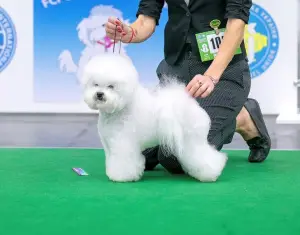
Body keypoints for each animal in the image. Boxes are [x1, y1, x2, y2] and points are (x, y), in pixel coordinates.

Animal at [82, 53, 227, 184]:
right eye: (95, 84)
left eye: (111, 86)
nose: (99, 94)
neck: (119, 109)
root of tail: (189, 104)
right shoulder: (110, 145)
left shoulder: (123, 143)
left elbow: (124, 162)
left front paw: (122, 177)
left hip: (191, 140)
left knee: (204, 156)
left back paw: (211, 174)